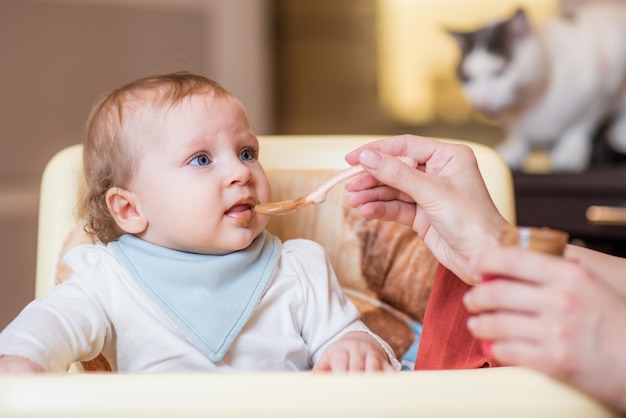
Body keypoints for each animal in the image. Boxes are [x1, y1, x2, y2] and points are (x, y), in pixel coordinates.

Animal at [446, 3, 626, 171]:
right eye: (468, 79)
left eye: (500, 72)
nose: (482, 103)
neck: (528, 104)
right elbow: (516, 132)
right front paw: (515, 148)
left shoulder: (599, 93)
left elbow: (579, 127)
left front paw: (570, 151)